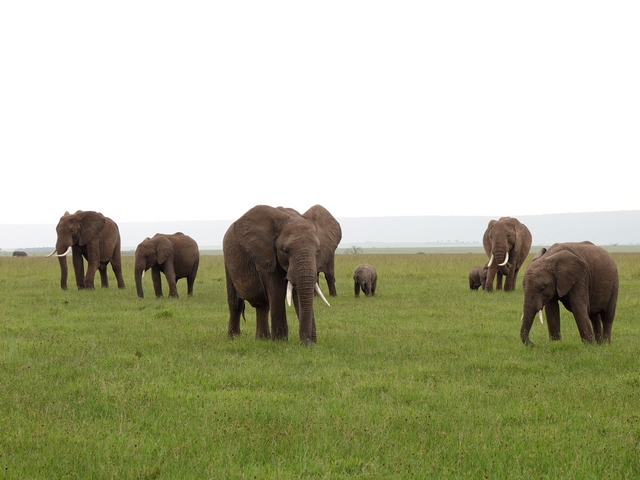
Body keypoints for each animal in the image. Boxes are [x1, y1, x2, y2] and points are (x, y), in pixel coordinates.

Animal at [223, 204, 334, 345]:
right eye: (285, 251)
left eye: (318, 251)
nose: (307, 342)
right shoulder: (267, 255)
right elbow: (277, 292)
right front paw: (280, 342)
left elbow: (297, 294)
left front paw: (311, 343)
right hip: (228, 261)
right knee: (235, 303)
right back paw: (234, 338)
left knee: (262, 305)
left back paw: (262, 339)